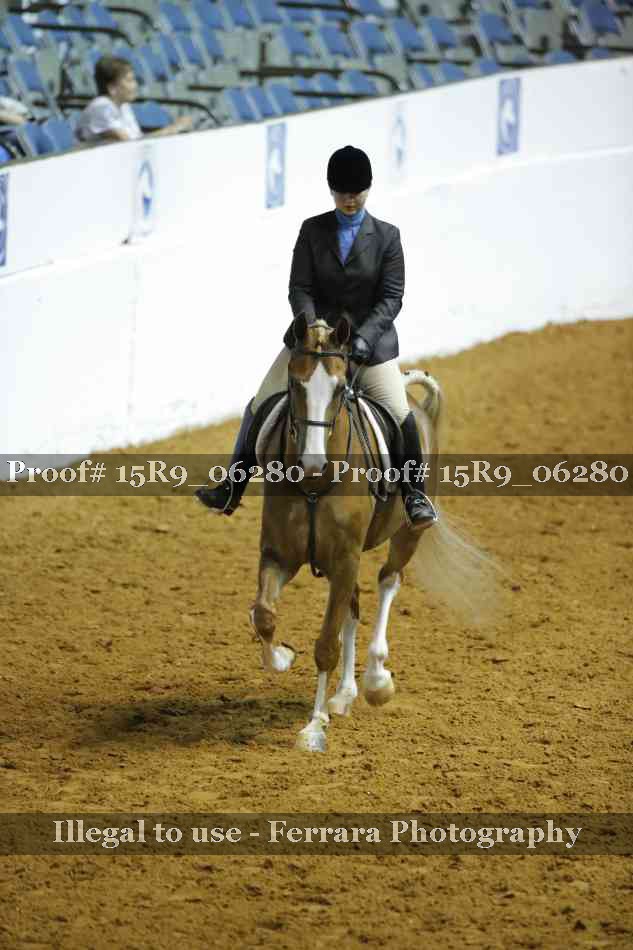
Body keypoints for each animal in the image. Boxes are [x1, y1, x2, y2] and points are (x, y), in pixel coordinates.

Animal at [248, 313, 479, 752]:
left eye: (340, 389)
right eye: (294, 384)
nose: (312, 462)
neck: (315, 487)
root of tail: (416, 407)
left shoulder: (344, 559)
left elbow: (326, 644)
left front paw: (314, 727)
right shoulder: (280, 555)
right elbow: (264, 615)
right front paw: (282, 658)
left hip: (405, 535)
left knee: (388, 581)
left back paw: (375, 681)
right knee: (352, 609)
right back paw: (344, 694)